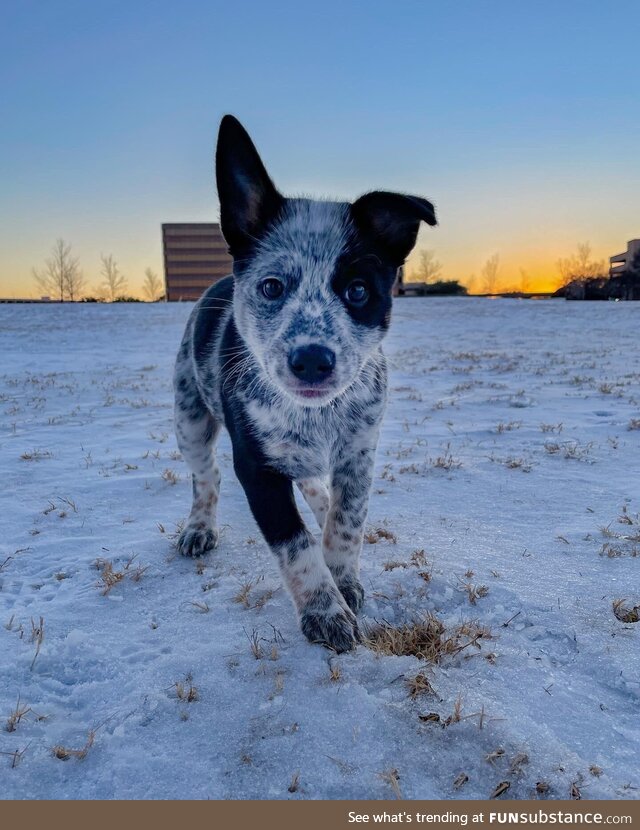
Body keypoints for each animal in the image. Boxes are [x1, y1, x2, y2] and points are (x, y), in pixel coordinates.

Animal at [172, 115, 438, 648]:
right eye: (272, 286)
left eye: (358, 291)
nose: (312, 359)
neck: (316, 416)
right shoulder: (257, 468)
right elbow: (294, 546)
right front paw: (326, 611)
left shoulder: (359, 452)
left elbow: (347, 521)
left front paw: (344, 580)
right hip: (188, 415)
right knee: (205, 476)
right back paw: (200, 527)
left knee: (317, 489)